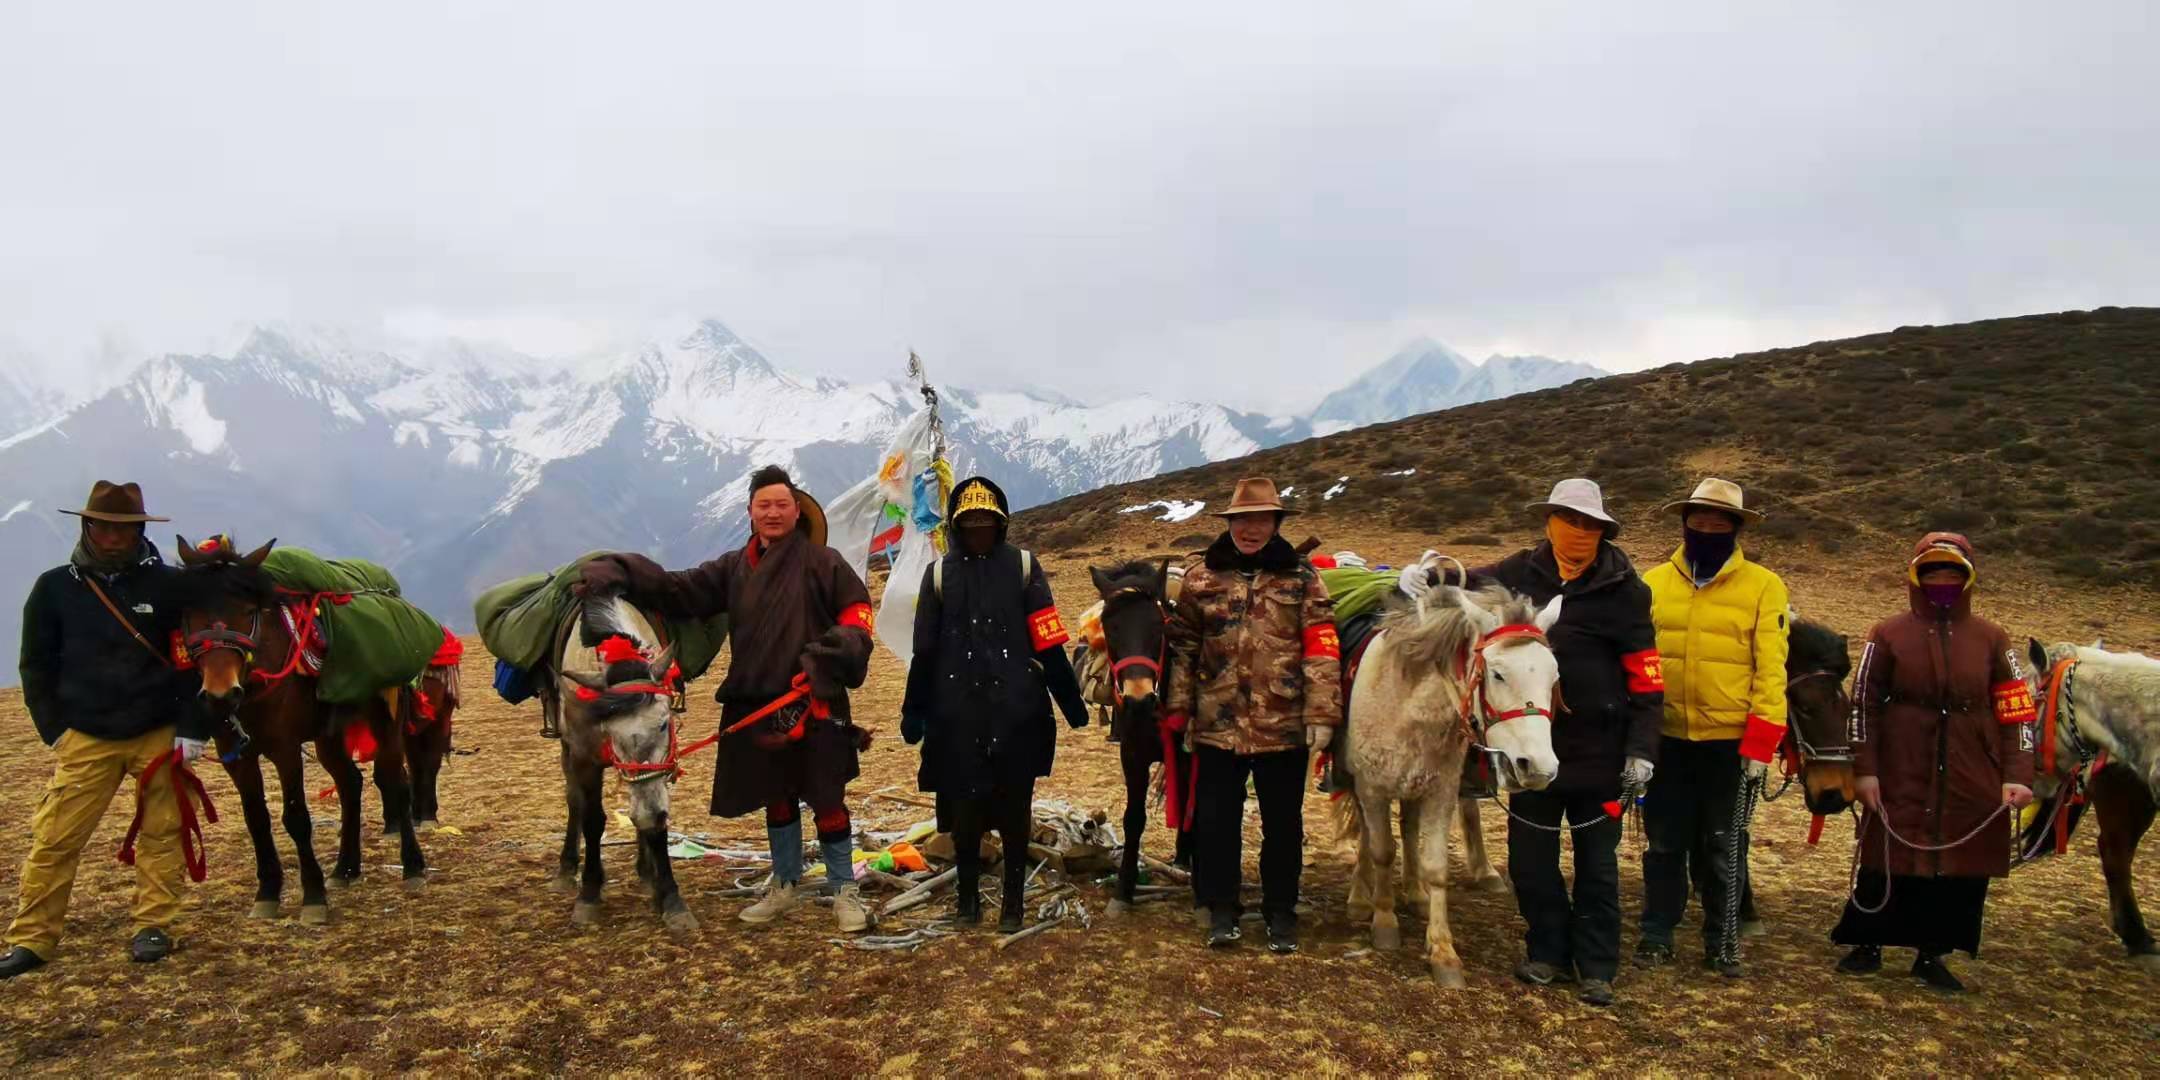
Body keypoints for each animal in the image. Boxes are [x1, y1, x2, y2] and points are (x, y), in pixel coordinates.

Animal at [170, 531, 427, 920]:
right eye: (189, 613)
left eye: (248, 612)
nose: (220, 694)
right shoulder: (236, 756)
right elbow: (256, 818)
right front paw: (267, 893)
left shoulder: (285, 749)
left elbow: (296, 817)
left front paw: (313, 897)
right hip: (328, 736)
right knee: (350, 783)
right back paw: (345, 869)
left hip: (387, 720)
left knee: (396, 783)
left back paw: (412, 866)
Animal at [1080, 561, 1200, 915]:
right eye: (1110, 627)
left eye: (1159, 626)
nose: (1138, 699)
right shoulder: (1132, 754)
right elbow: (1134, 818)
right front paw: (1124, 888)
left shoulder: (1189, 754)